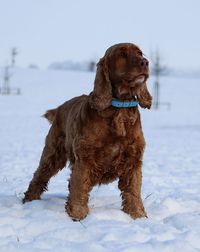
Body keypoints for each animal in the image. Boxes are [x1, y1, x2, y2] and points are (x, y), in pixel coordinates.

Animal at [23, 43, 152, 220]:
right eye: (122, 54)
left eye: (140, 53)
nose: (145, 62)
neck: (119, 108)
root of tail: (59, 108)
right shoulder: (85, 158)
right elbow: (80, 186)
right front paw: (77, 214)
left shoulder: (133, 159)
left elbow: (133, 190)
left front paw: (137, 215)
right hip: (52, 154)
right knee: (39, 176)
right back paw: (29, 200)